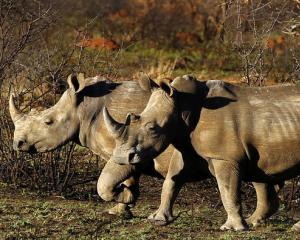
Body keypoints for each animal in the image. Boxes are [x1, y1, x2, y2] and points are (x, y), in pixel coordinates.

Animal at [9, 73, 280, 227]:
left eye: (48, 122)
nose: (18, 144)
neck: (84, 108)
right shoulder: (129, 148)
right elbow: (127, 179)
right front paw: (121, 208)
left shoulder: (124, 149)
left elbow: (106, 183)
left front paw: (121, 201)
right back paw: (258, 221)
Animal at [103, 74, 300, 231]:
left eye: (152, 128)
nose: (122, 157)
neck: (183, 105)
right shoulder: (188, 150)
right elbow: (172, 180)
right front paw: (158, 219)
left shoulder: (223, 157)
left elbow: (227, 190)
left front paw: (232, 228)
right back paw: (255, 222)